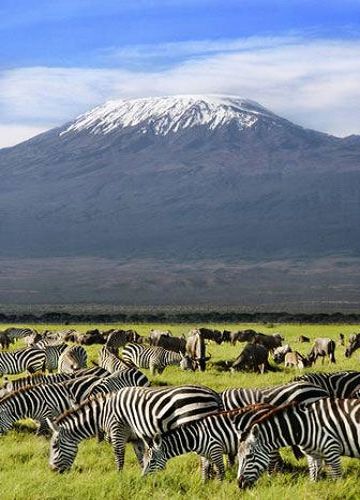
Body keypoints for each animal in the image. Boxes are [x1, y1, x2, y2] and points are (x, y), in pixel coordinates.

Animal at [47, 386, 222, 472]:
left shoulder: (117, 430)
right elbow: (141, 458)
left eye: (54, 446)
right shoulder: (136, 438)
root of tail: (214, 394)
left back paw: (204, 481)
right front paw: (144, 476)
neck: (102, 413)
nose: (53, 471)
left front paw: (119, 477)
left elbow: (119, 457)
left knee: (205, 459)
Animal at [143, 402, 284, 480]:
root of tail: (270, 406)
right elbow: (205, 470)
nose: (143, 479)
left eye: (152, 461)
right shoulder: (205, 454)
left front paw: (220, 486)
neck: (196, 437)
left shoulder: (216, 449)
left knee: (273, 459)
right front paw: (204, 485)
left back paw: (271, 477)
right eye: (144, 461)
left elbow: (220, 470)